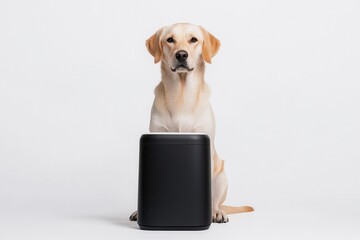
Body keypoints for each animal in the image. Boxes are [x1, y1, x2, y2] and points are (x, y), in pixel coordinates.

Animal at [130, 23, 253, 223]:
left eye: (193, 40)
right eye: (170, 39)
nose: (181, 54)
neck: (181, 95)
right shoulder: (158, 132)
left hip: (221, 176)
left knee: (216, 201)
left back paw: (216, 212)